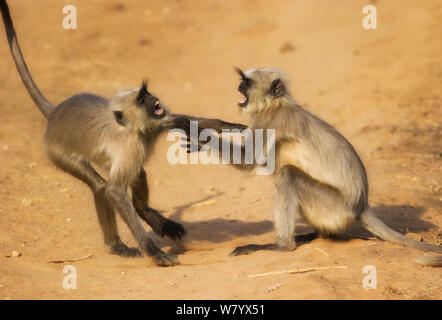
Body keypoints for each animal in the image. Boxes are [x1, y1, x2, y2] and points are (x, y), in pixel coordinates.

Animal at [0, 0, 245, 266]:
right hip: (57, 151)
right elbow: (115, 192)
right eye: (141, 99)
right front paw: (153, 252)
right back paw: (116, 245)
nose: (154, 98)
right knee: (101, 187)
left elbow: (184, 120)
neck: (137, 130)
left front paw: (237, 127)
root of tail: (56, 113)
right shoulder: (130, 147)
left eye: (147, 94)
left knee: (137, 174)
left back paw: (150, 215)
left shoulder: (158, 123)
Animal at [190, 67, 442, 268]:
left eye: (247, 82)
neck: (277, 104)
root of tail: (361, 206)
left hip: (332, 206)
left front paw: (193, 131)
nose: (239, 85)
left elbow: (247, 161)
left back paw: (282, 245)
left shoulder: (268, 121)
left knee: (287, 173)